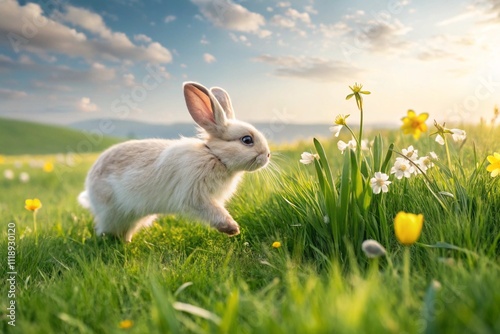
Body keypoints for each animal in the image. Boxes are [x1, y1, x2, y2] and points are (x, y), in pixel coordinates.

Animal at [78, 82, 270, 241]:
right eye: (247, 140)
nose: (267, 155)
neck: (215, 156)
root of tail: (89, 186)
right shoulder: (196, 196)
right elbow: (214, 212)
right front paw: (232, 229)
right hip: (113, 213)